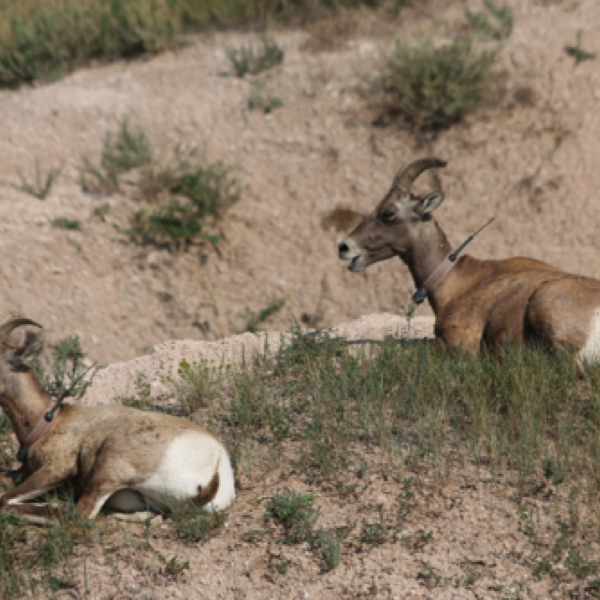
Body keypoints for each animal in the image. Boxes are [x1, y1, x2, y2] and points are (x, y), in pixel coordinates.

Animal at [0, 314, 237, 524]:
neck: (50, 421)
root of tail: (215, 469)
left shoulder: (57, 468)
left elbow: (4, 498)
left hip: (107, 470)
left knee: (75, 514)